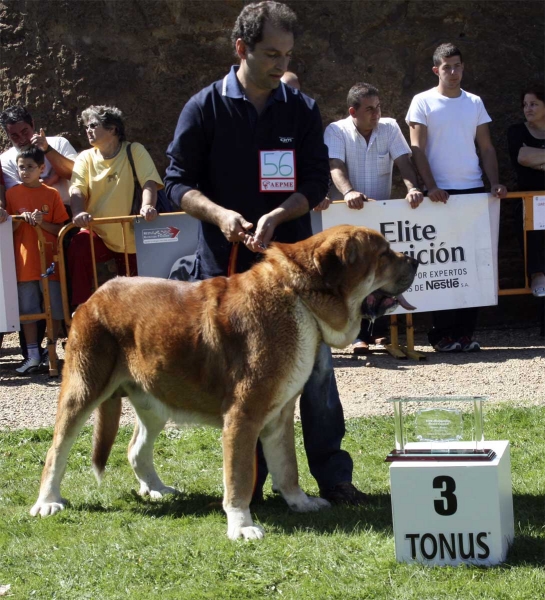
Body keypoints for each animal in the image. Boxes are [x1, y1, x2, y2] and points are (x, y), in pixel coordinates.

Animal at [29, 224, 416, 540]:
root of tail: (95, 295)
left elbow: (288, 466)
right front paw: (241, 525)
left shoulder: (279, 415)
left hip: (155, 401)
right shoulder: (243, 417)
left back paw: (156, 489)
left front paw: (299, 502)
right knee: (56, 451)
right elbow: (240, 478)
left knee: (136, 449)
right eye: (383, 255)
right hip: (83, 390)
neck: (300, 299)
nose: (413, 259)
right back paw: (48, 502)